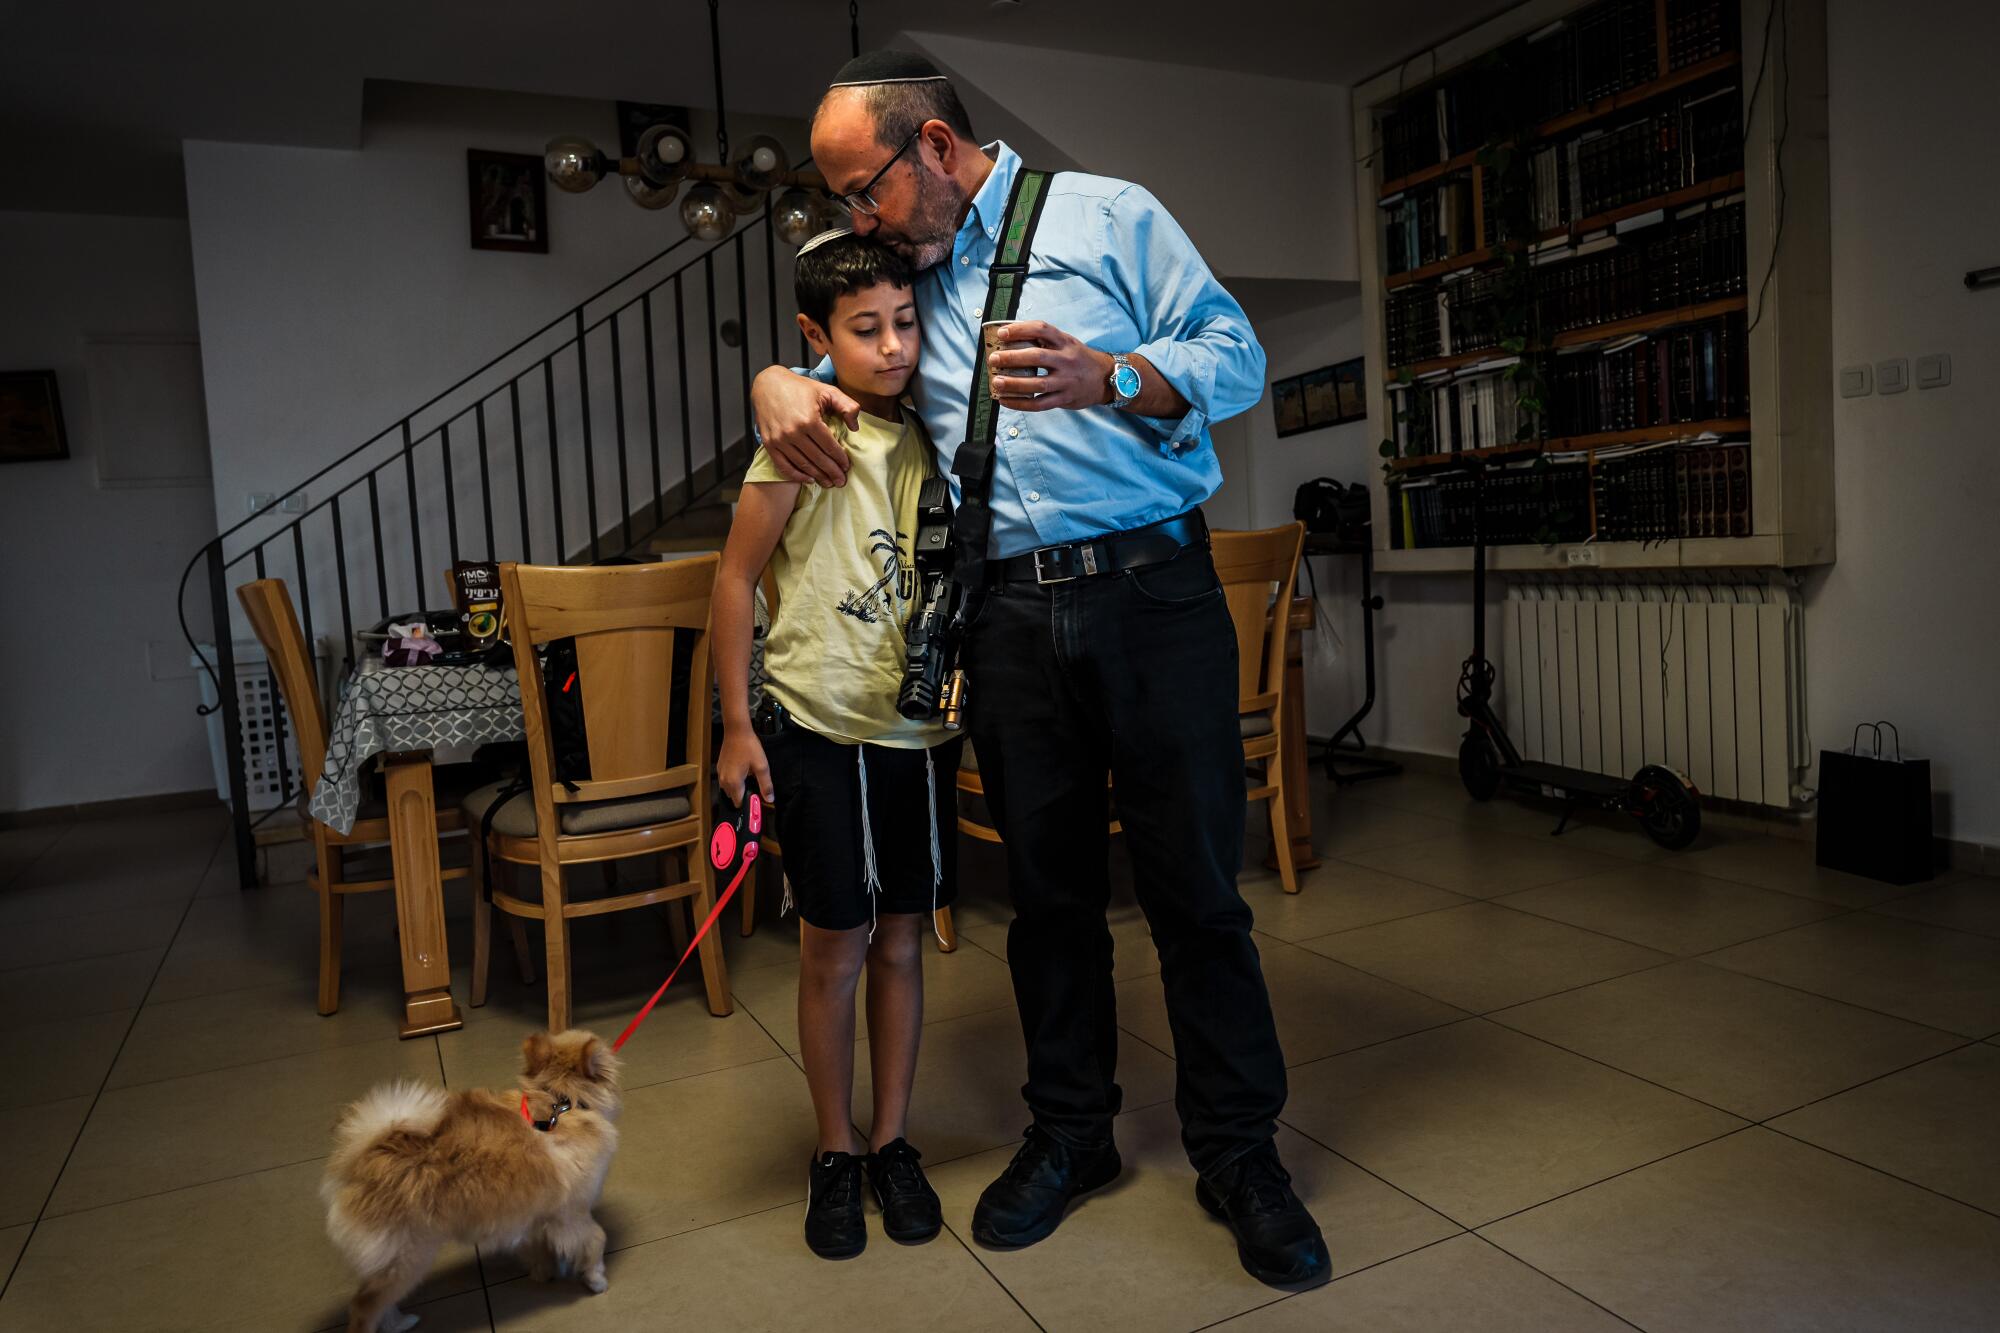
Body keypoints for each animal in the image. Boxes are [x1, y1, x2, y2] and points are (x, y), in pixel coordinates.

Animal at [322, 1024, 616, 1328]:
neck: (559, 1105)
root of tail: (363, 1159)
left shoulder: (533, 1214)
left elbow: (539, 1248)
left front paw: (543, 1272)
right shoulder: (573, 1214)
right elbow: (596, 1240)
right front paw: (596, 1280)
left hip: (391, 1263)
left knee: (379, 1301)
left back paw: (399, 1323)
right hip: (408, 1257)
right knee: (364, 1307)